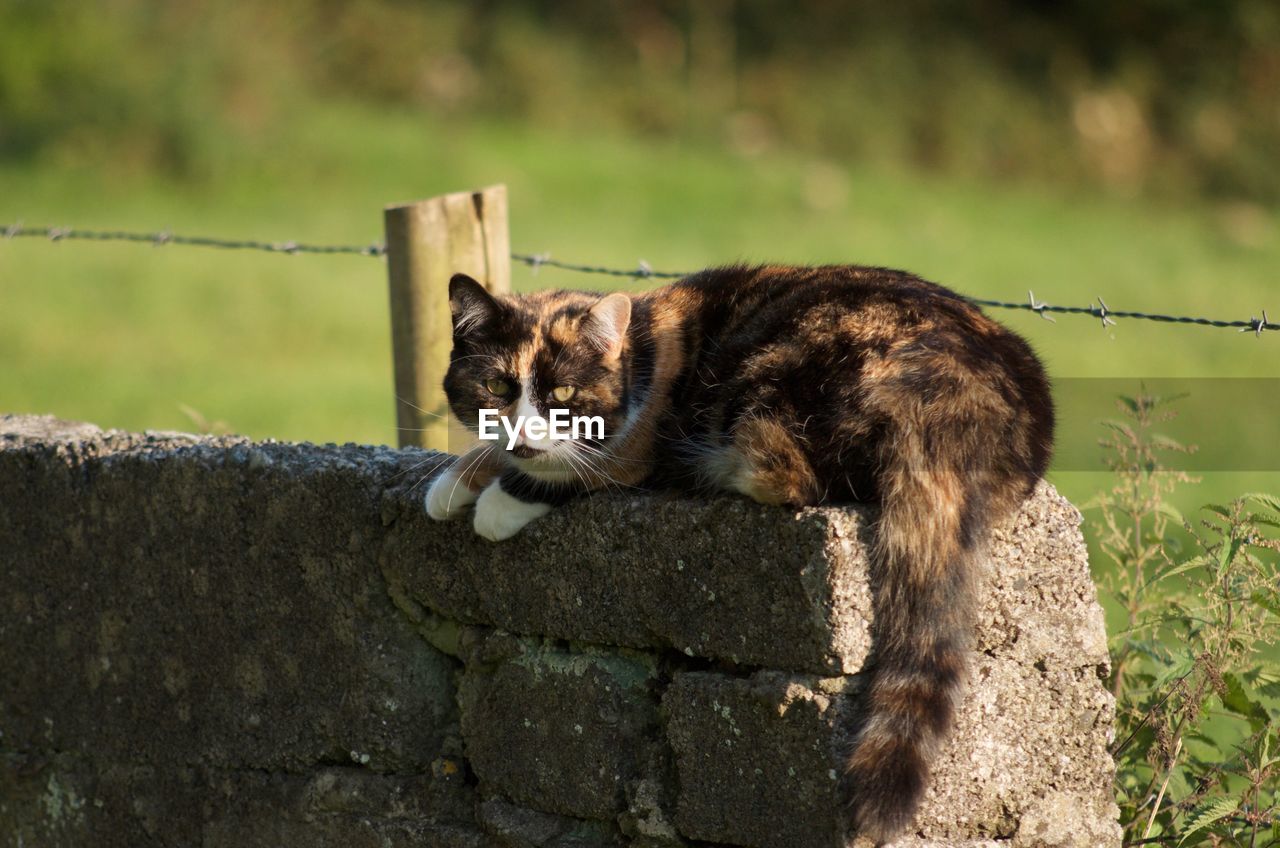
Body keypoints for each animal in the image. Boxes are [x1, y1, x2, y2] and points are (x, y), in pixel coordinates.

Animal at [424, 263, 1054, 845]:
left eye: (563, 395)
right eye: (498, 388)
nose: (524, 438)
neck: (641, 350)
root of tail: (959, 395)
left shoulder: (632, 447)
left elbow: (581, 466)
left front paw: (499, 496)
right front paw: (454, 480)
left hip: (774, 371)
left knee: (788, 474)